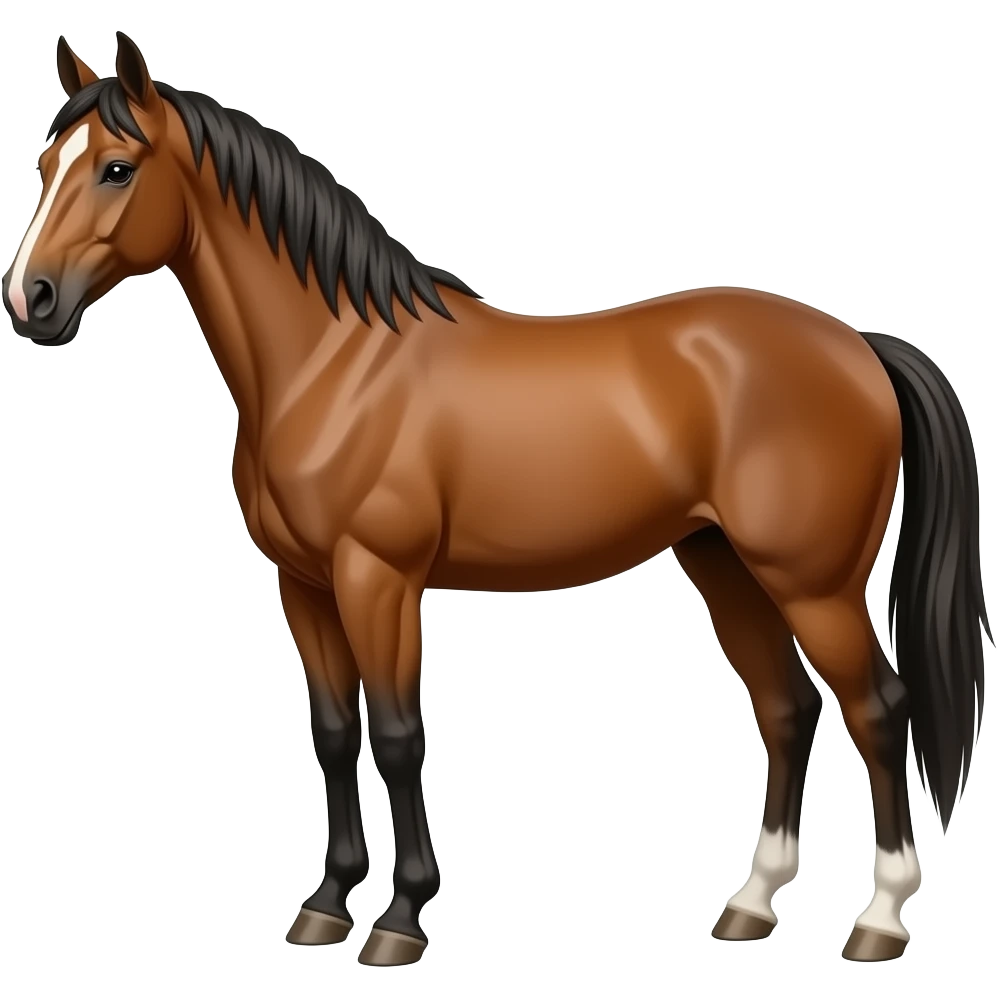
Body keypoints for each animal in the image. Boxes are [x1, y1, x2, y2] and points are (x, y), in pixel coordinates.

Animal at [3, 31, 991, 967]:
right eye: (45, 166)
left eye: (117, 168)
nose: (31, 300)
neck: (336, 363)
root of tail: (858, 346)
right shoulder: (305, 585)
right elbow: (334, 732)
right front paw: (325, 907)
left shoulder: (378, 580)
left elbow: (398, 734)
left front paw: (400, 920)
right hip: (726, 566)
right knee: (787, 710)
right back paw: (750, 906)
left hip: (812, 583)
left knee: (879, 710)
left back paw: (879, 919)